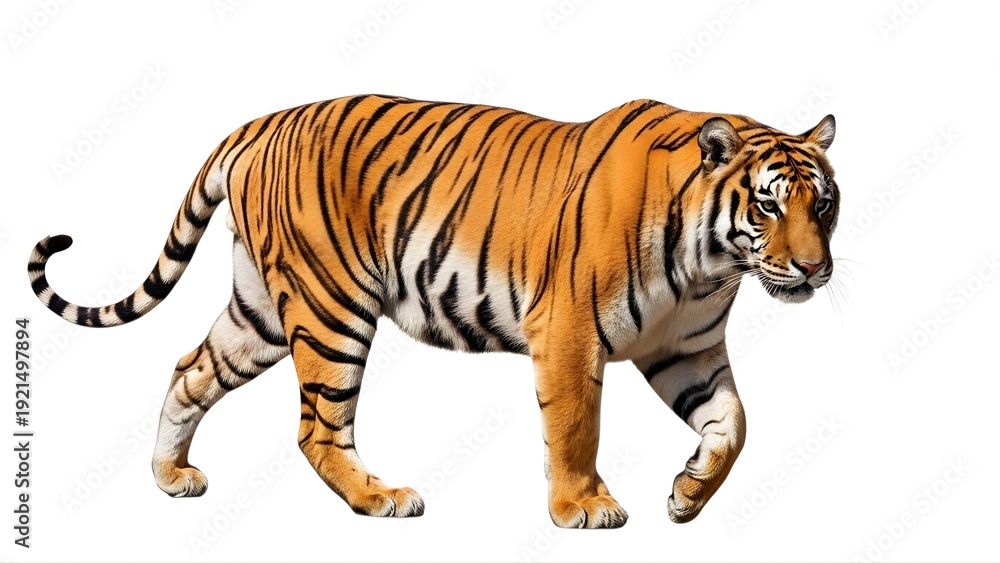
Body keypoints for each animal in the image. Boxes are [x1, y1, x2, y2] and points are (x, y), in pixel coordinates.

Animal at [28, 94, 838, 528]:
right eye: (768, 205)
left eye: (822, 204)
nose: (814, 268)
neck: (710, 265)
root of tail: (262, 122)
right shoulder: (569, 333)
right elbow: (577, 426)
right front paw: (583, 507)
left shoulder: (686, 349)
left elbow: (733, 425)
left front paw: (690, 495)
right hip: (331, 309)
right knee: (316, 428)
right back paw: (381, 496)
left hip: (258, 312)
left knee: (189, 369)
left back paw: (171, 477)